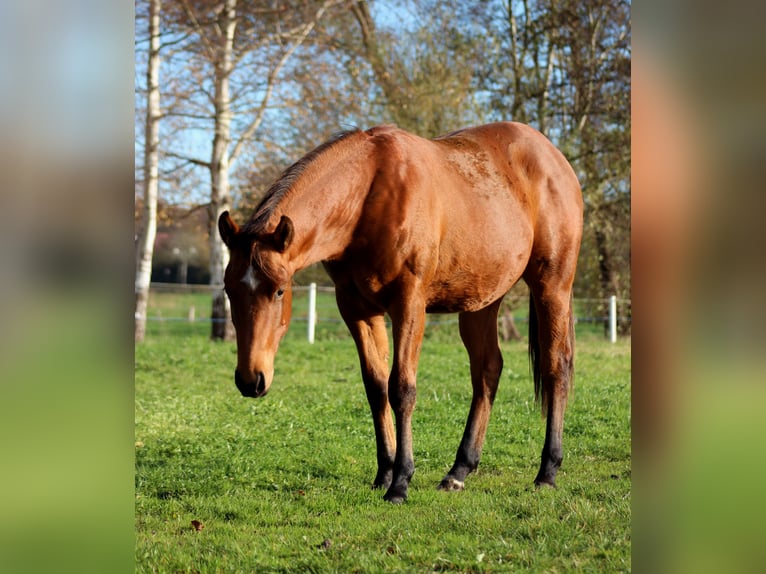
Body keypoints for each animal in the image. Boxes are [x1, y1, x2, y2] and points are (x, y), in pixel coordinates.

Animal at [218, 122, 583, 503]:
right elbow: (376, 388)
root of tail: (553, 157)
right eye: (229, 289)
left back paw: (547, 471)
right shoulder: (357, 309)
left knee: (556, 366)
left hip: (552, 285)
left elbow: (401, 389)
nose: (250, 380)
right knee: (487, 371)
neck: (368, 194)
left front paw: (401, 482)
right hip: (481, 302)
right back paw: (459, 471)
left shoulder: (409, 304)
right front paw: (384, 473)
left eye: (278, 290)